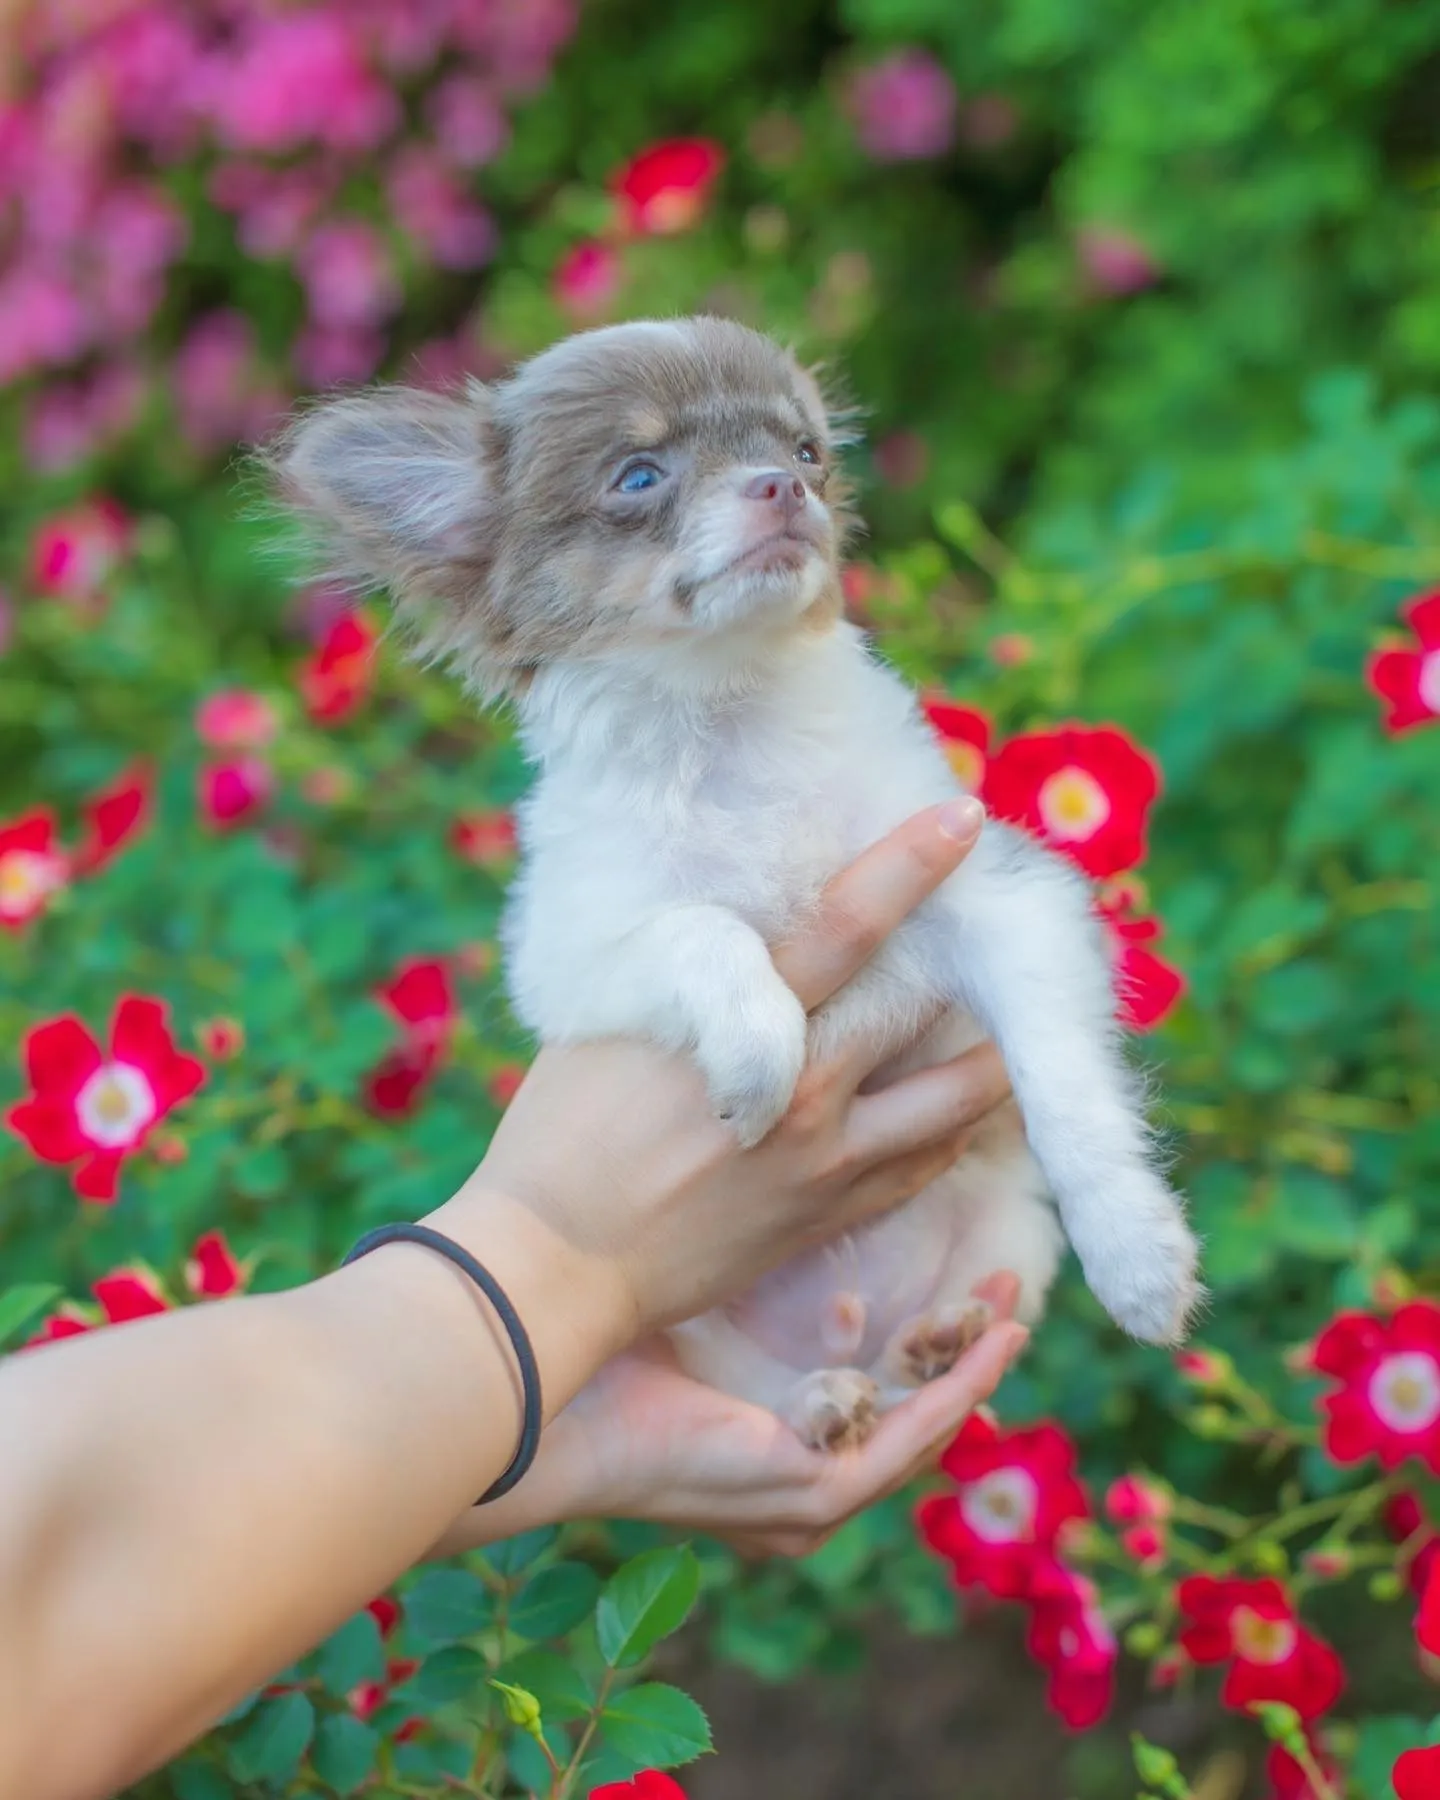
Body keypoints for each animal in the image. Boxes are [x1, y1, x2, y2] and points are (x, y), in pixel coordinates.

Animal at [273, 320, 1202, 1447]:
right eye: (639, 476)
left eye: (806, 453)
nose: (782, 487)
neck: (732, 718)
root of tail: (847, 1323)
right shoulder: (570, 961)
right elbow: (707, 928)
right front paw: (762, 1054)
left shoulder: (1004, 897)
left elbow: (1066, 1092)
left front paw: (1139, 1255)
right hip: (689, 1329)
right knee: (762, 1389)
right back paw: (820, 1400)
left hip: (1005, 1238)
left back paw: (934, 1339)